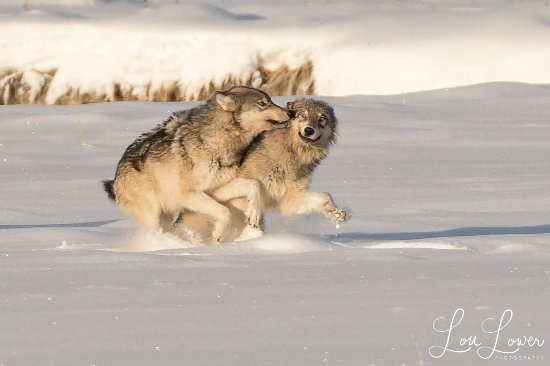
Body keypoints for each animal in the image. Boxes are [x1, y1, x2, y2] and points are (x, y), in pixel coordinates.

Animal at [104, 85, 294, 240]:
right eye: (262, 103)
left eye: (271, 100)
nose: (291, 113)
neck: (217, 142)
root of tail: (115, 177)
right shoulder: (189, 195)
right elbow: (225, 212)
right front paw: (218, 235)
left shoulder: (216, 190)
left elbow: (254, 184)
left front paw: (253, 213)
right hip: (153, 216)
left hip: (165, 215)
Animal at [179, 97, 348, 243]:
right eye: (302, 115)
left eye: (322, 119)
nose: (309, 130)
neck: (288, 154)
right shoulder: (221, 190)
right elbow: (255, 188)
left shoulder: (289, 200)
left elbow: (325, 195)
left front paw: (336, 214)